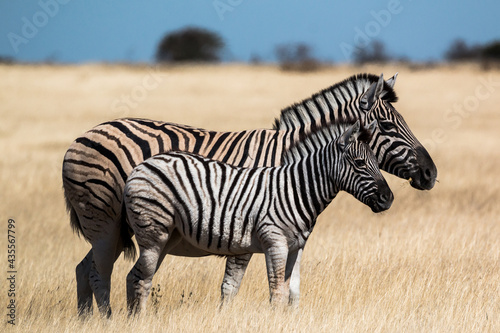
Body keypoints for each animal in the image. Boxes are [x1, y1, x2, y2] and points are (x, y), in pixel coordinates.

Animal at [123, 119, 392, 314]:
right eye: (359, 162)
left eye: (377, 162)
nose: (388, 198)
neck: (295, 190)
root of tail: (142, 165)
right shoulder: (275, 243)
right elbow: (277, 292)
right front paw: (276, 322)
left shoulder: (297, 247)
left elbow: (293, 292)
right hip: (153, 232)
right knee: (142, 279)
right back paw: (141, 321)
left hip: (167, 237)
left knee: (133, 276)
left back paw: (132, 320)